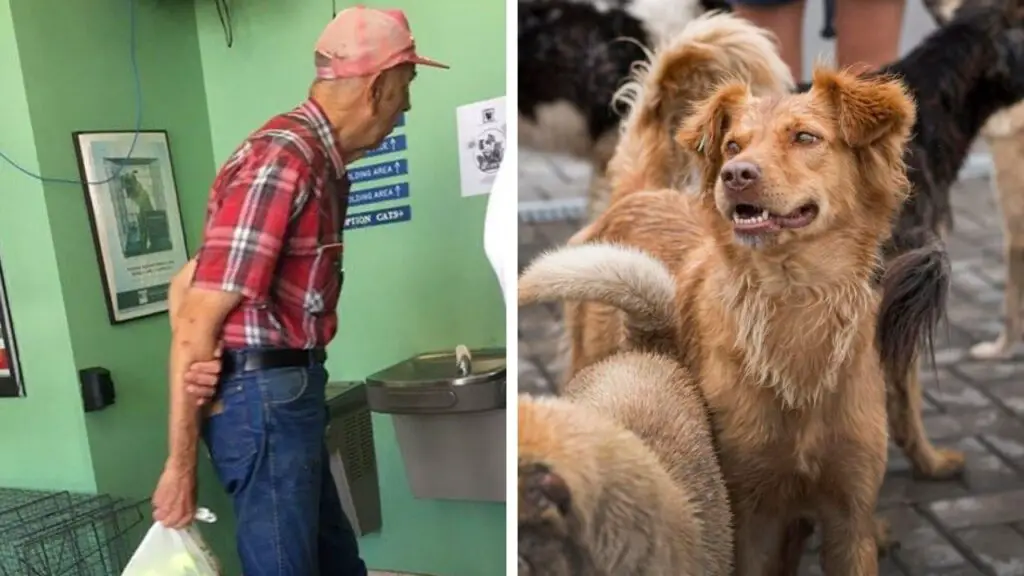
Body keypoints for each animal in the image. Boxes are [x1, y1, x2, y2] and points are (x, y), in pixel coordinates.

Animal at [561, 68, 929, 573]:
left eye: (806, 137)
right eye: (733, 145)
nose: (736, 174)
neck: (793, 302)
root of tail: (639, 194)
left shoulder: (850, 518)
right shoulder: (746, 515)